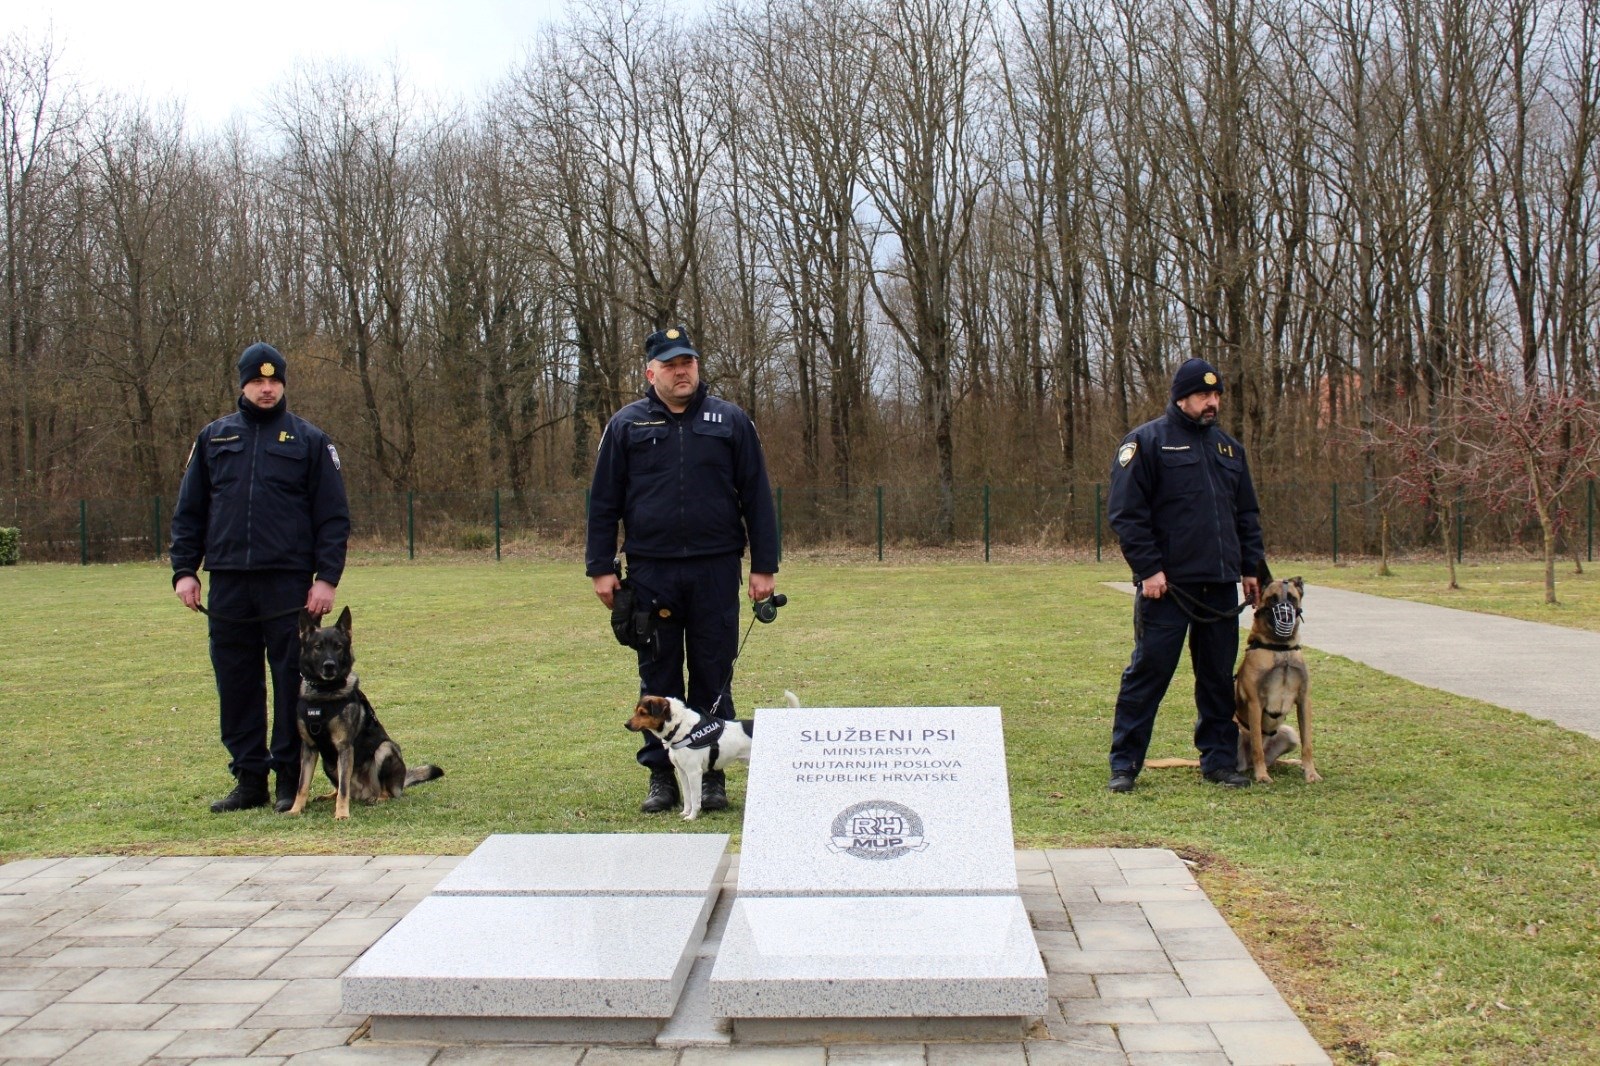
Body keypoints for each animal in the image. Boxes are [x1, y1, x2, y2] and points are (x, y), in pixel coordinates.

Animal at [288, 601, 444, 816]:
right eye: (318, 647)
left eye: (338, 647)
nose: (329, 666)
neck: (324, 694)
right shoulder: (309, 748)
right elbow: (302, 785)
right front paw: (295, 810)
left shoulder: (344, 746)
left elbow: (343, 789)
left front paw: (342, 814)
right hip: (329, 763)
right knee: (340, 787)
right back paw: (329, 796)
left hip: (385, 749)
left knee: (382, 791)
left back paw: (377, 798)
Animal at [624, 694, 755, 816]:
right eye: (636, 711)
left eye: (643, 713)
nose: (626, 724)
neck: (679, 727)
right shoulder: (682, 772)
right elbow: (687, 796)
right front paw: (685, 813)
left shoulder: (694, 772)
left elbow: (694, 797)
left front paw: (692, 817)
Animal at [1228, 573, 1318, 781]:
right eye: (1272, 599)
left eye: (1291, 598)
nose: (1285, 616)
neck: (1280, 648)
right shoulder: (1255, 703)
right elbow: (1257, 747)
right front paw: (1262, 776)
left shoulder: (1304, 700)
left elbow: (1307, 744)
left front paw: (1311, 772)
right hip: (1236, 732)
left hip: (1290, 733)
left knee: (1274, 760)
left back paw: (1293, 763)